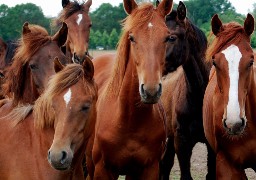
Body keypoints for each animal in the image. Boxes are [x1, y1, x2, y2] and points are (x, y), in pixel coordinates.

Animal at [86, 0, 174, 179]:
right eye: (132, 37)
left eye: (168, 37)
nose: (151, 90)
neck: (129, 119)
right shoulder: (102, 170)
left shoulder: (149, 169)